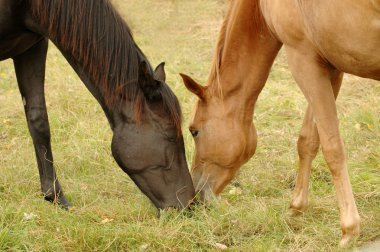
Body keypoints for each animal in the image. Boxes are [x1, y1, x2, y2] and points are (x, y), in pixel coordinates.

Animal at [0, 0, 196, 211]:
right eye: (170, 135)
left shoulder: (32, 46)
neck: (23, 6)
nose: (190, 204)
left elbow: (39, 122)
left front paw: (56, 197)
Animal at [179, 0, 380, 247]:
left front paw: (349, 230)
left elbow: (332, 148)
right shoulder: (329, 67)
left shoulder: (303, 60)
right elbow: (307, 141)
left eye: (194, 131)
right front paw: (296, 208)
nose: (196, 196)